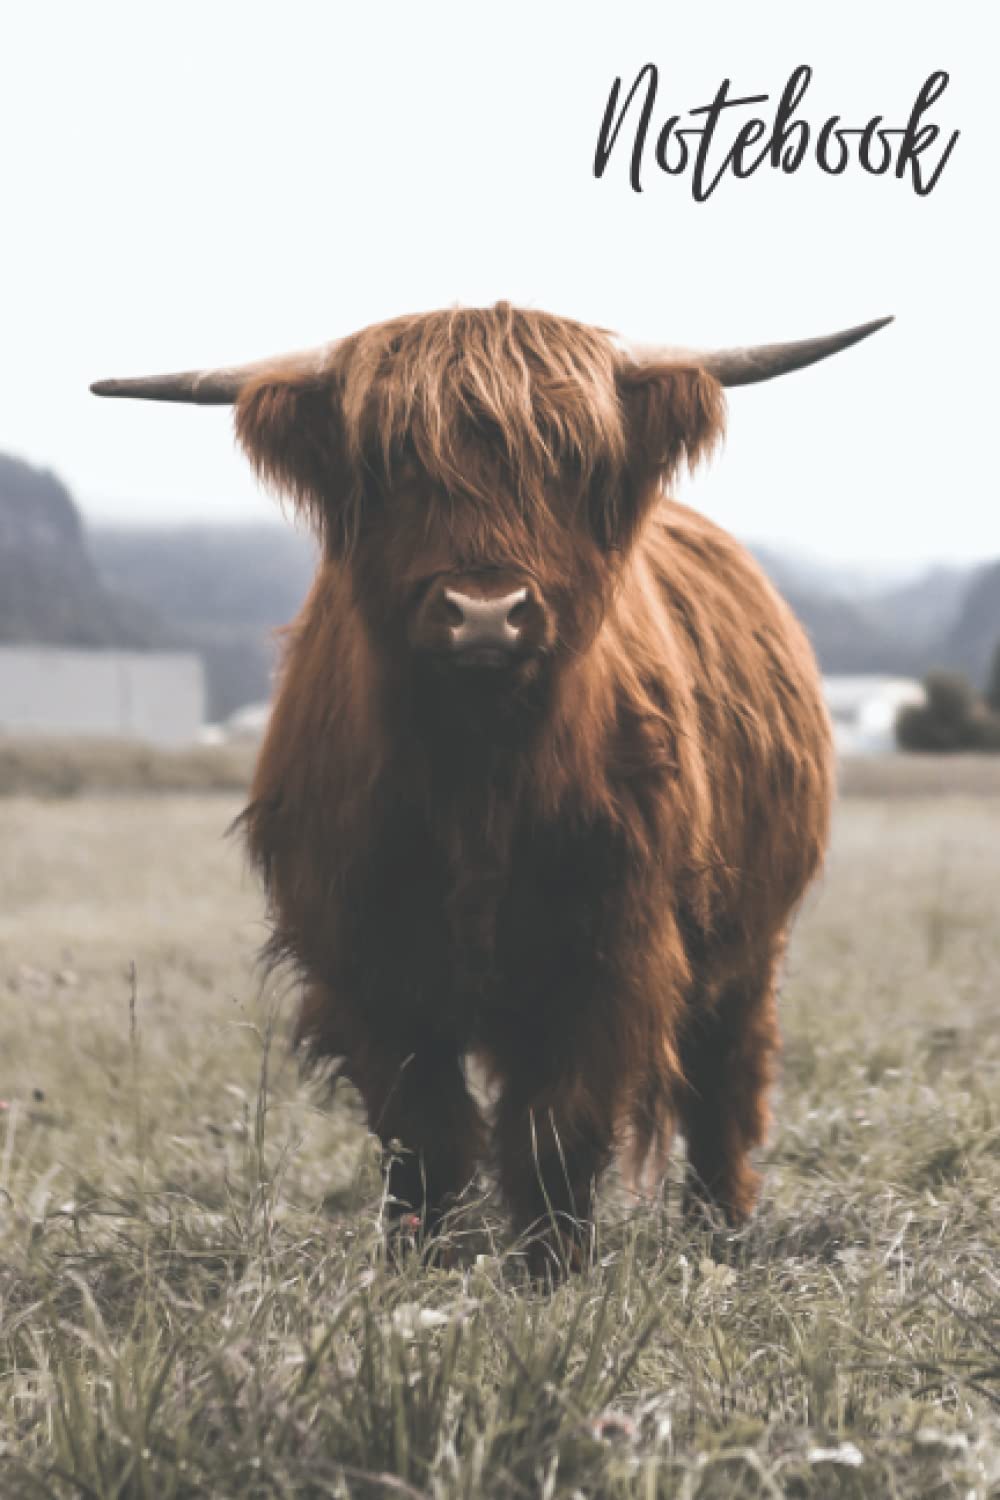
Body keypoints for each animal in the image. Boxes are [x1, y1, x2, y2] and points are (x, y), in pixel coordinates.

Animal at [92, 304, 890, 1275]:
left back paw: (721, 1222)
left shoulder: (609, 941)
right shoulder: (364, 950)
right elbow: (422, 1126)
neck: (478, 775)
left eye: (570, 459)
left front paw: (552, 1263)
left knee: (727, 1073)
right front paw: (423, 1254)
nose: (484, 611)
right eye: (394, 462)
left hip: (751, 939)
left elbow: (558, 1121)